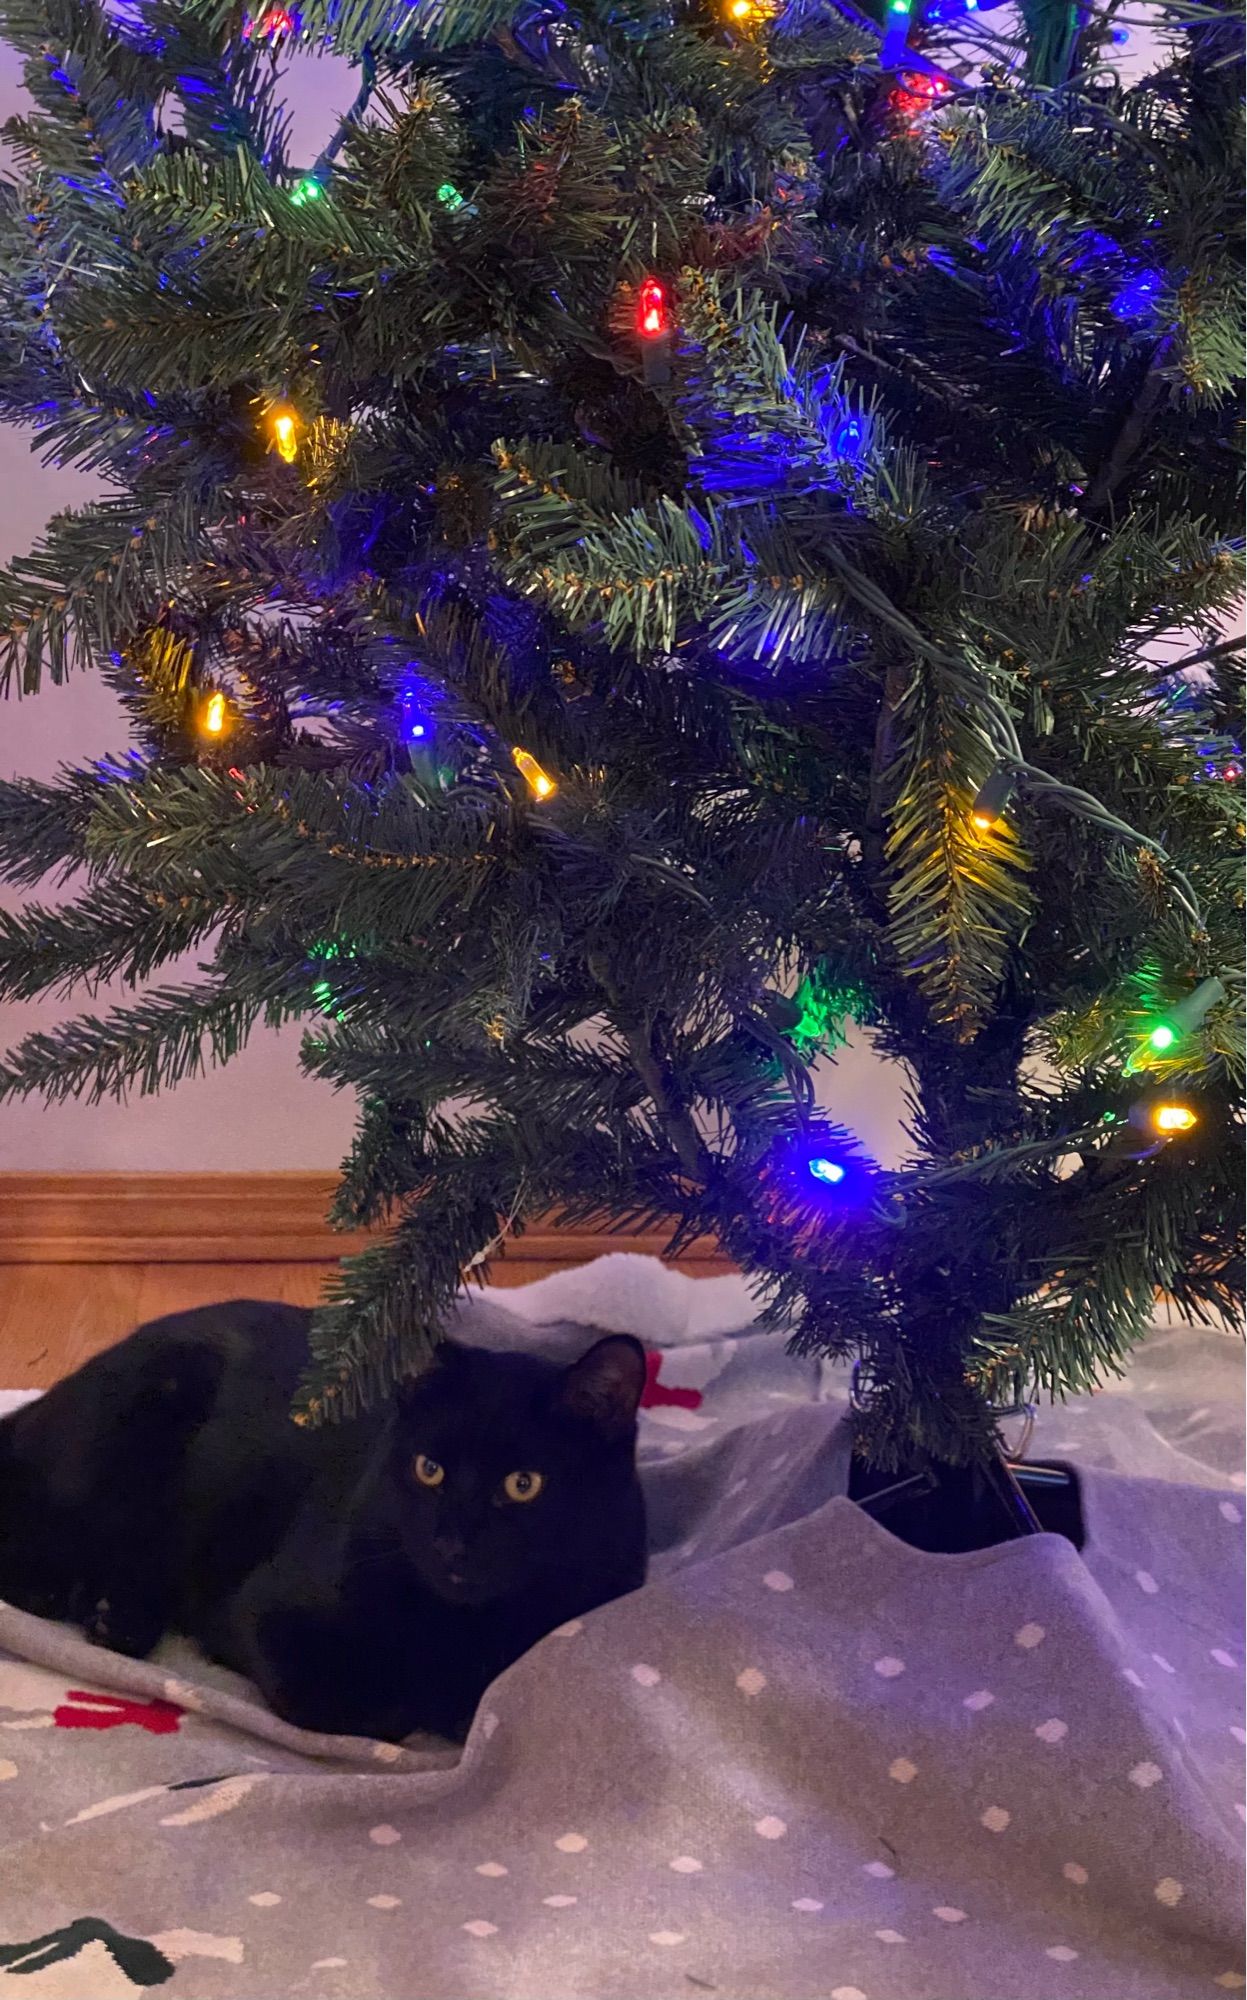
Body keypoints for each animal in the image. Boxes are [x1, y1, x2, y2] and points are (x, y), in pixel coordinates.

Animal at [0, 1304, 643, 1744]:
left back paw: (114, 1614)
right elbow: (361, 1706)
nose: (451, 1544)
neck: (459, 1623)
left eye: (523, 1484)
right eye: (429, 1469)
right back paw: (63, 1594)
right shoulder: (263, 1612)